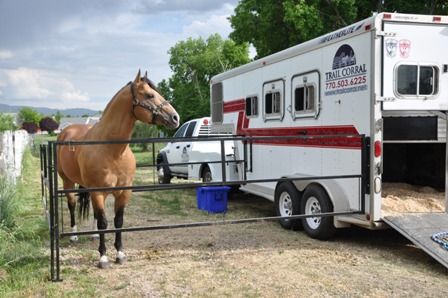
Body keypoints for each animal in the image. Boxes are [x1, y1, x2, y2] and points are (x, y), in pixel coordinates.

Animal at [57, 70, 179, 268]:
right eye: (149, 95)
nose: (175, 118)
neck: (112, 150)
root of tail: (67, 131)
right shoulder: (98, 191)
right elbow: (104, 222)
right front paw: (103, 257)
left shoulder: (123, 191)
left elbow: (118, 221)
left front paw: (120, 253)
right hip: (67, 182)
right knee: (72, 205)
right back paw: (74, 236)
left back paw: (92, 235)